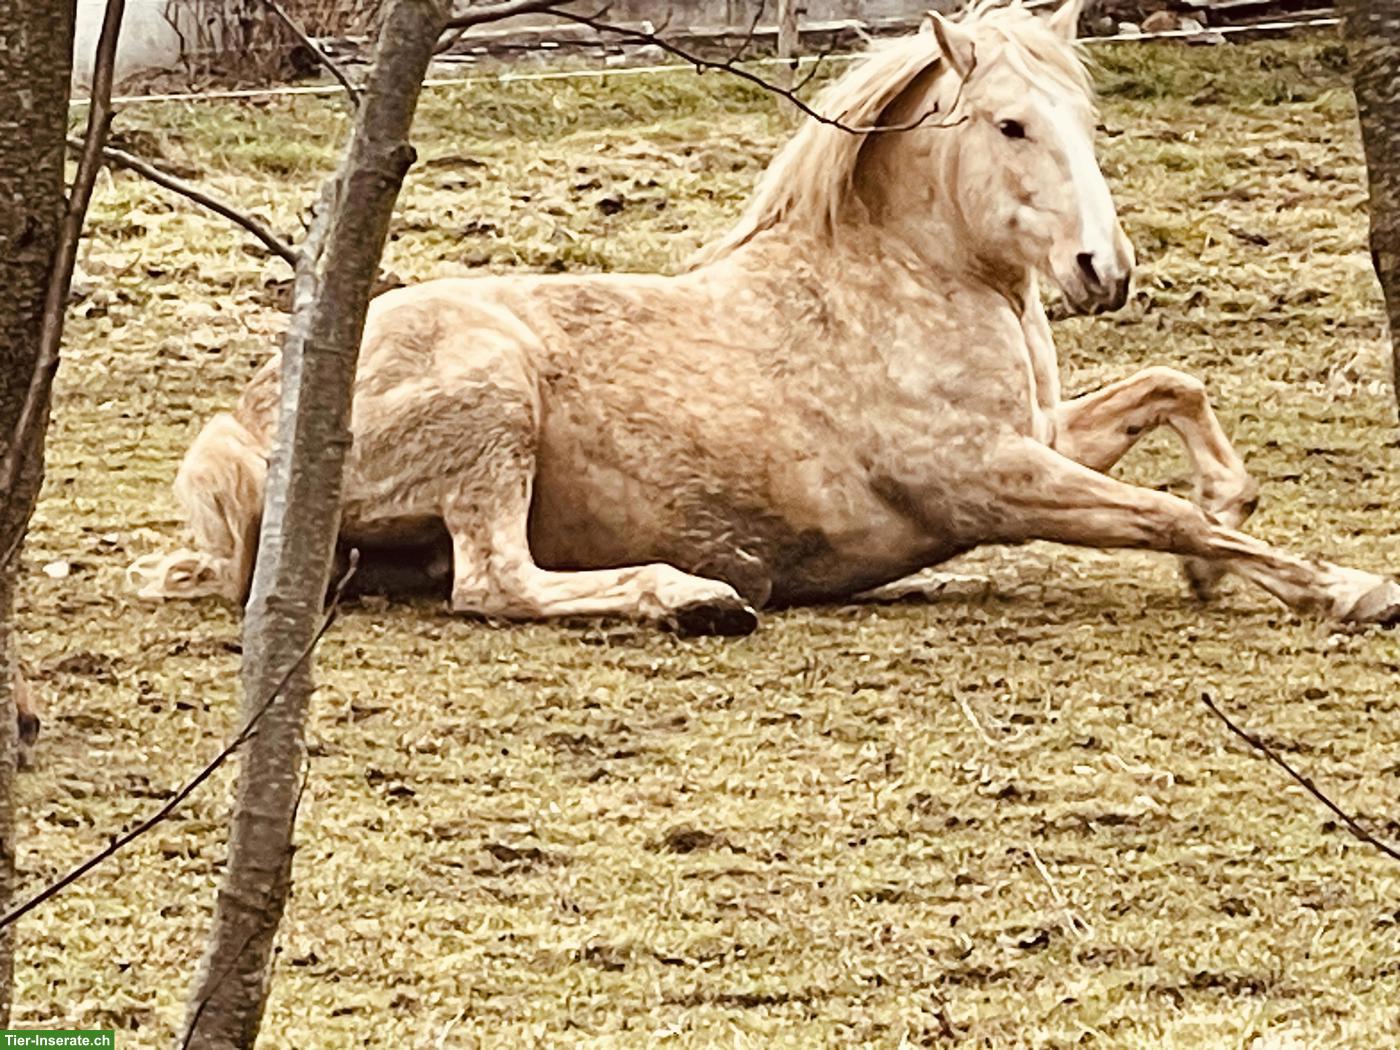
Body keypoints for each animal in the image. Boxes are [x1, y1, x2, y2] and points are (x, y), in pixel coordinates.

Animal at [128, 0, 1400, 633]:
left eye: (1084, 118)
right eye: (1007, 126)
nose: (1105, 269)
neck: (894, 284)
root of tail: (248, 429)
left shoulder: (1039, 437)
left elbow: (1172, 395)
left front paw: (1224, 534)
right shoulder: (984, 479)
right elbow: (1161, 513)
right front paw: (1337, 587)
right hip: (492, 407)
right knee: (496, 583)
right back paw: (692, 598)